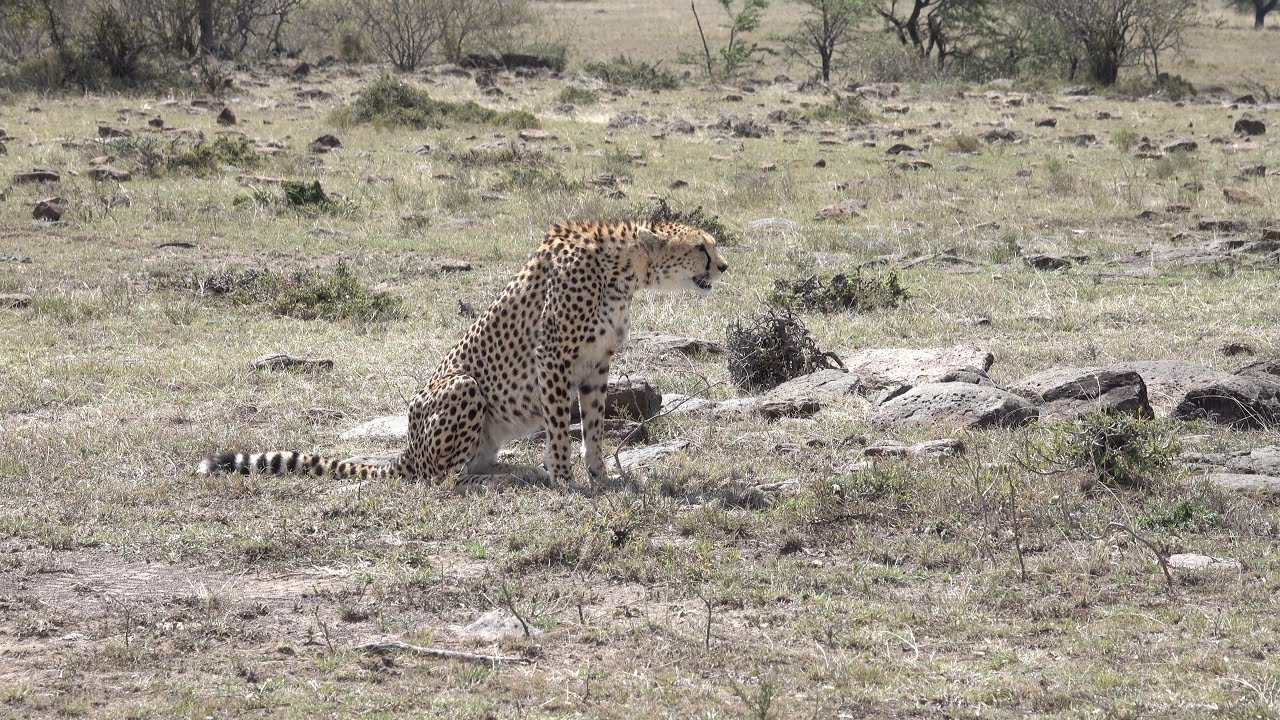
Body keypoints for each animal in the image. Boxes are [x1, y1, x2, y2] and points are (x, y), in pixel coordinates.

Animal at [197, 219, 729, 491]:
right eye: (702, 247)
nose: (724, 266)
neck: (624, 270)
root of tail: (406, 450)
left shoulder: (597, 365)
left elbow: (594, 427)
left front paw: (600, 475)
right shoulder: (553, 359)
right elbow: (561, 427)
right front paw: (564, 478)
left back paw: (513, 469)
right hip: (462, 387)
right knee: (437, 477)